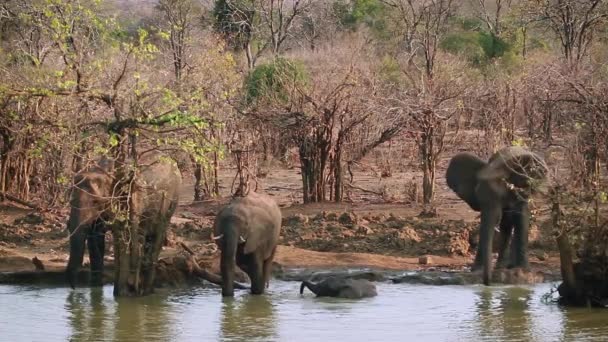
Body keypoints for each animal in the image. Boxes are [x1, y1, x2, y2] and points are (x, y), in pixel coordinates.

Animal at [67, 153, 182, 292]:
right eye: (71, 201)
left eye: (95, 201)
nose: (73, 288)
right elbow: (96, 241)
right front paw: (96, 288)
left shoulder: (131, 198)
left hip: (173, 199)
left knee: (157, 233)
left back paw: (146, 289)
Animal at [444, 146, 548, 286]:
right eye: (477, 195)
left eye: (502, 196)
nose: (488, 283)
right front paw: (477, 270)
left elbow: (520, 216)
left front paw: (523, 271)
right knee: (506, 223)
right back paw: (503, 267)